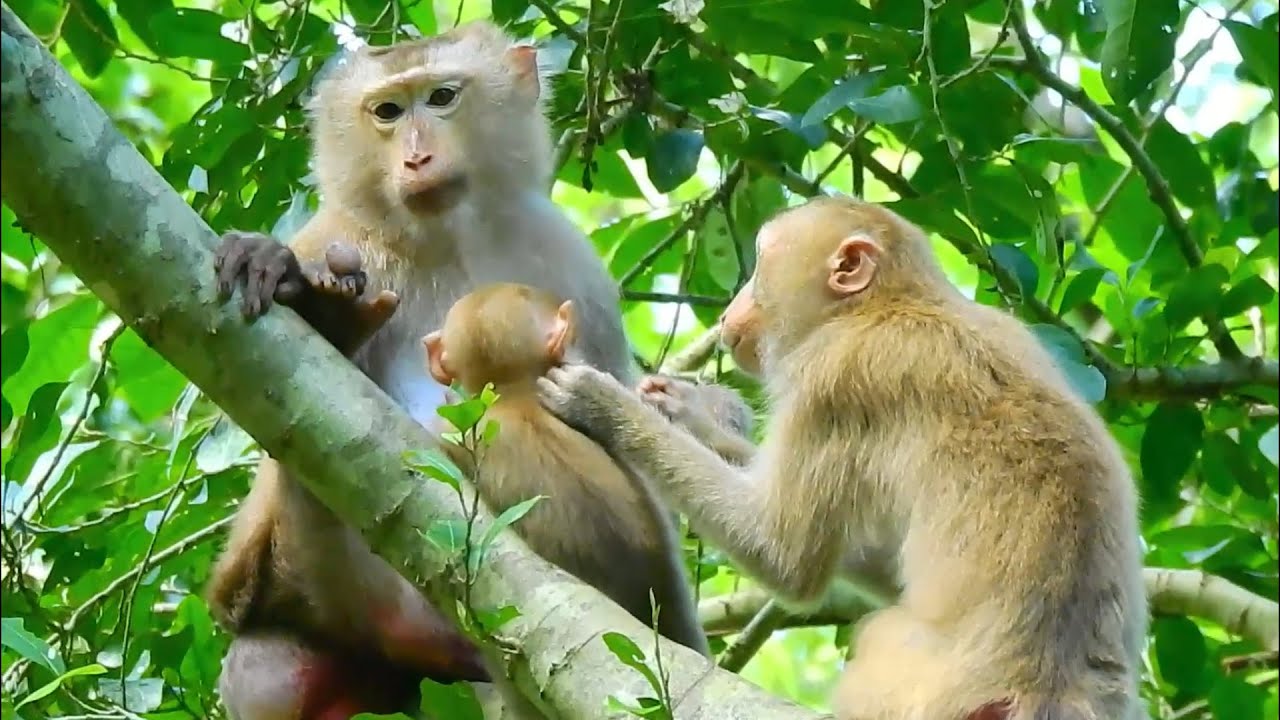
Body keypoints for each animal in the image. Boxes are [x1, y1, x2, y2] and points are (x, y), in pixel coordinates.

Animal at [207, 21, 637, 720]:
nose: (416, 158)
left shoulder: (570, 262)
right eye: (387, 111)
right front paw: (271, 268)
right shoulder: (332, 238)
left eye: (440, 98)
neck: (448, 238)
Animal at [534, 195, 1148, 720]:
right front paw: (689, 416)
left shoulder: (834, 381)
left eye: (760, 266)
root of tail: (1050, 689)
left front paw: (604, 406)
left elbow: (786, 556)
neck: (889, 303)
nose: (731, 309)